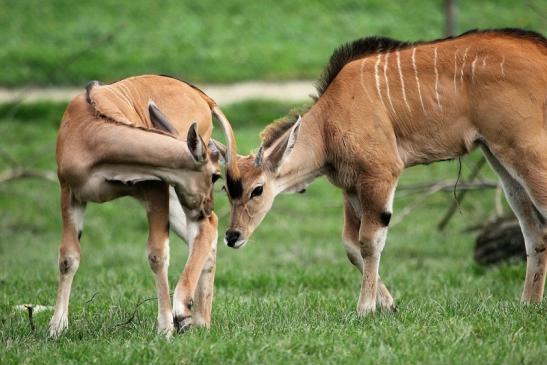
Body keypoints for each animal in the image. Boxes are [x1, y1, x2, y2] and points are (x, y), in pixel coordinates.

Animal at [50, 74, 239, 336]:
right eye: (215, 176)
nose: (208, 206)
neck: (91, 135)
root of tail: (204, 98)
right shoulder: (70, 193)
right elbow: (68, 258)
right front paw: (56, 327)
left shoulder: (155, 187)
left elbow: (157, 254)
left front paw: (165, 328)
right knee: (205, 234)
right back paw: (200, 320)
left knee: (206, 229)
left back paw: (184, 310)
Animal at [223, 29, 547, 316]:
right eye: (226, 189)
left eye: (257, 189)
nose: (231, 236)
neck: (328, 122)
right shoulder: (352, 188)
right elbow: (351, 246)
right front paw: (389, 306)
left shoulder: (380, 175)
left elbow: (369, 242)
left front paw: (365, 309)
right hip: (500, 160)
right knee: (533, 230)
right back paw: (527, 304)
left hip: (525, 151)